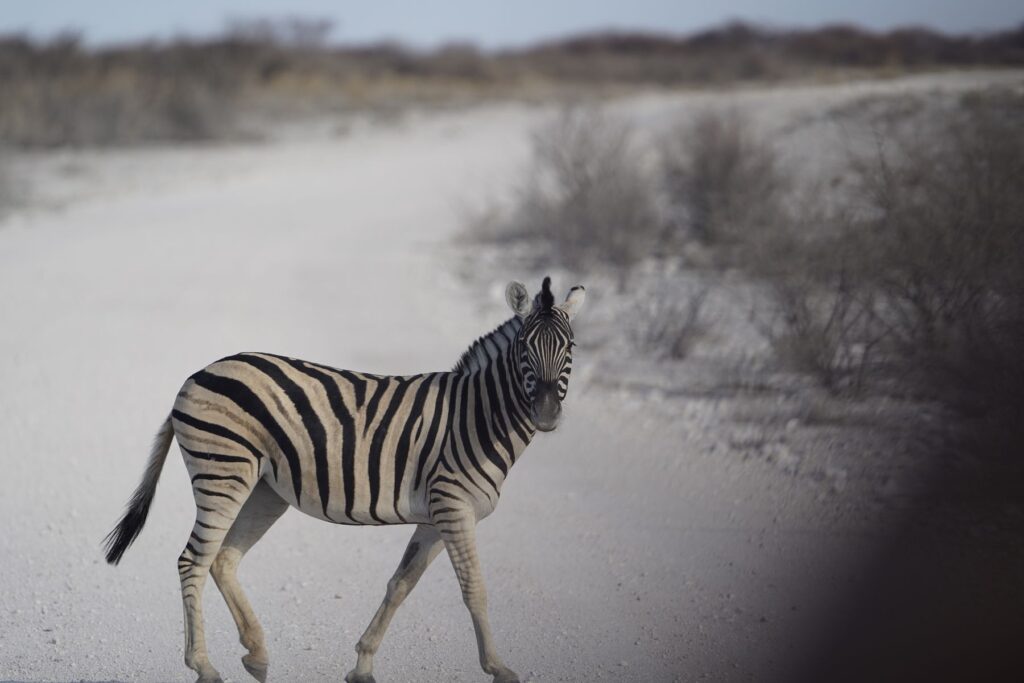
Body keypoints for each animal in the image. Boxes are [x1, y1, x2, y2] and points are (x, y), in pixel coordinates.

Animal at [103, 276, 585, 683]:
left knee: (223, 559)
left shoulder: (434, 518)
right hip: (222, 473)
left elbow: (399, 585)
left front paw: (362, 665)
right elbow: (475, 589)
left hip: (264, 490)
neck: (477, 416)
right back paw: (204, 667)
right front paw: (499, 668)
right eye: (523, 348)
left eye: (571, 348)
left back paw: (257, 655)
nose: (546, 415)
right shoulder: (453, 506)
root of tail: (197, 374)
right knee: (193, 561)